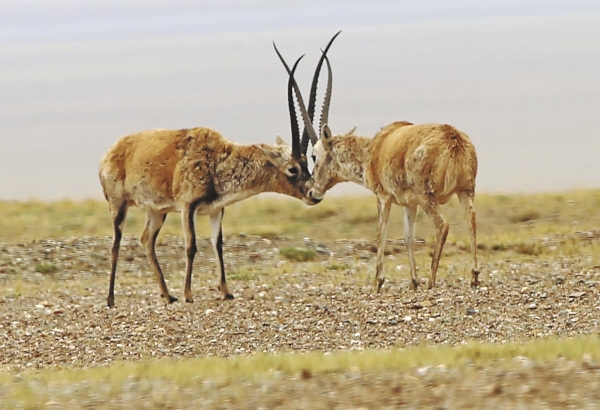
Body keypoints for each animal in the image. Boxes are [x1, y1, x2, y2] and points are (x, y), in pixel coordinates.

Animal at [99, 47, 334, 307]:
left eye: (307, 163)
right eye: (293, 168)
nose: (313, 194)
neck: (217, 161)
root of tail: (111, 152)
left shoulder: (216, 210)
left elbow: (217, 244)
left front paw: (225, 291)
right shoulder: (187, 207)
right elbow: (191, 246)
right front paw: (188, 294)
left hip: (157, 211)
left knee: (146, 239)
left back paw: (167, 295)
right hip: (119, 205)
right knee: (116, 245)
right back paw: (111, 299)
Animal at [277, 39, 480, 293]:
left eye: (314, 156)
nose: (313, 191)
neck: (373, 150)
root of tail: (453, 139)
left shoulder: (383, 197)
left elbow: (380, 233)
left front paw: (378, 282)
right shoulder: (409, 203)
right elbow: (408, 236)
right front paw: (413, 281)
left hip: (428, 196)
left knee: (443, 225)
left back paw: (432, 282)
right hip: (465, 191)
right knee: (472, 218)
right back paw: (474, 277)